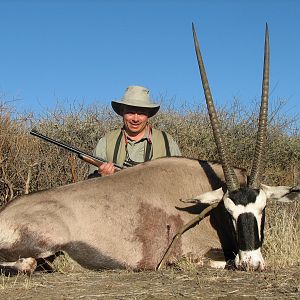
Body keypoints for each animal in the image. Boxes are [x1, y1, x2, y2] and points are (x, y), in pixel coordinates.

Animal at [0, 25, 298, 274]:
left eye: (263, 209)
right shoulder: (186, 256)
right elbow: (218, 261)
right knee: (27, 263)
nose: (251, 263)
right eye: (228, 212)